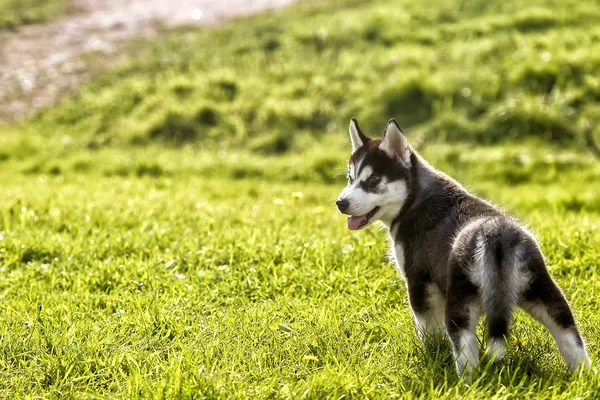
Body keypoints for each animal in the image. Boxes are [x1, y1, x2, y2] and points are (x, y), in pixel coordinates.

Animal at [336, 117, 592, 376]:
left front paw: (431, 353)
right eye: (350, 179)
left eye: (372, 181)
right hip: (546, 294)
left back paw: (467, 380)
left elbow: (428, 328)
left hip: (460, 305)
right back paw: (583, 376)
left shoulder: (419, 282)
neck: (414, 198)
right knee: (570, 337)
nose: (340, 203)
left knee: (465, 348)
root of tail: (496, 236)